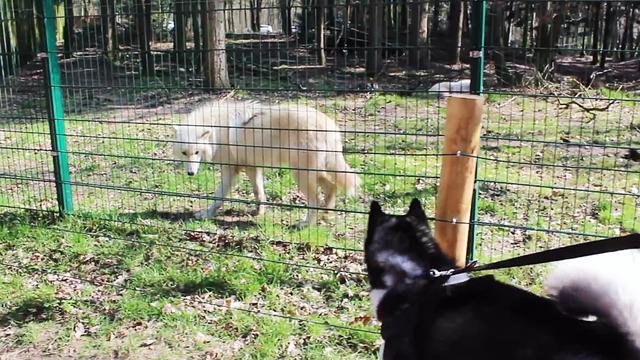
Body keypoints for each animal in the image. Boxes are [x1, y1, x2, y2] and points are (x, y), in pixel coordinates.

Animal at [171, 100, 360, 226]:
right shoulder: (251, 167)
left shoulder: (229, 169)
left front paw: (206, 214)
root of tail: (330, 125)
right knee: (331, 187)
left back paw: (306, 224)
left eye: (197, 152)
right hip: (312, 172)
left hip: (300, 174)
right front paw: (259, 212)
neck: (217, 130)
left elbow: (218, 196)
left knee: (316, 200)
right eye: (184, 153)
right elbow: (258, 192)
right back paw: (326, 214)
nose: (191, 173)